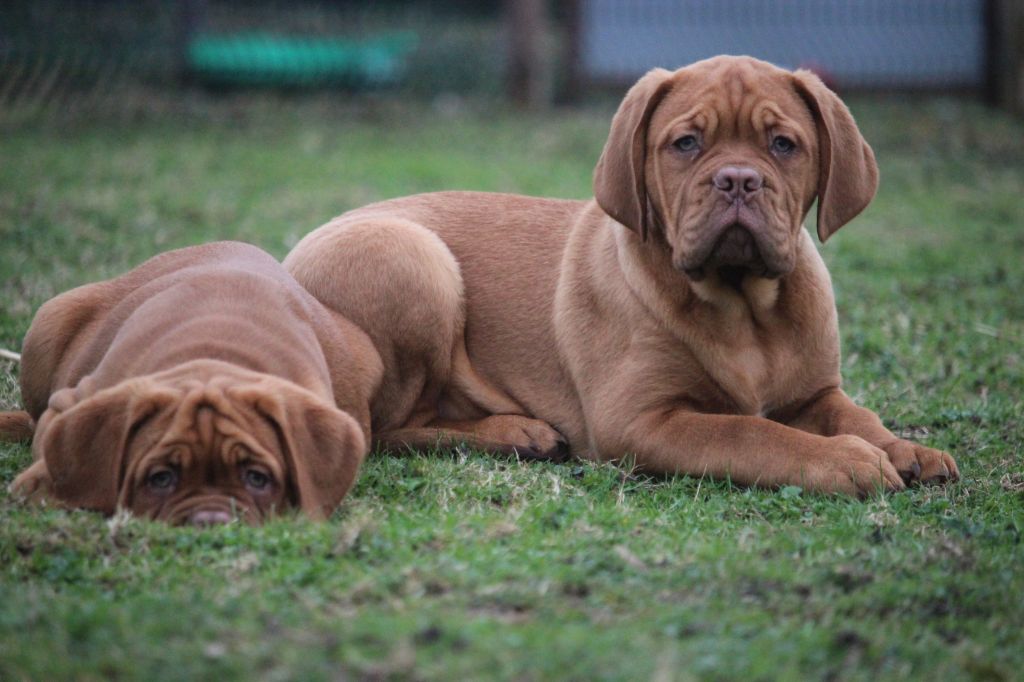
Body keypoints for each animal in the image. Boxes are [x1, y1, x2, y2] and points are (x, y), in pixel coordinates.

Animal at [4, 241, 380, 522]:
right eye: (161, 478)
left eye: (257, 478)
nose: (210, 521)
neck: (213, 359)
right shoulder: (70, 402)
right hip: (50, 320)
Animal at [284, 55, 954, 493]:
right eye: (686, 143)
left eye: (783, 145)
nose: (738, 179)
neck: (744, 307)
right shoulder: (639, 421)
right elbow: (750, 433)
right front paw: (845, 461)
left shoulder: (818, 392)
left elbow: (857, 415)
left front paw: (907, 448)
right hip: (413, 260)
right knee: (387, 429)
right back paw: (514, 432)